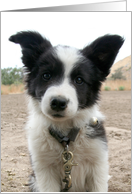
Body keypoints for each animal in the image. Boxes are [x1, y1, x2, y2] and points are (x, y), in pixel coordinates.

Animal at [9, 31, 124, 192]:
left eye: (79, 80)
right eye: (46, 75)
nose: (58, 102)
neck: (66, 137)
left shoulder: (98, 165)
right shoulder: (43, 170)